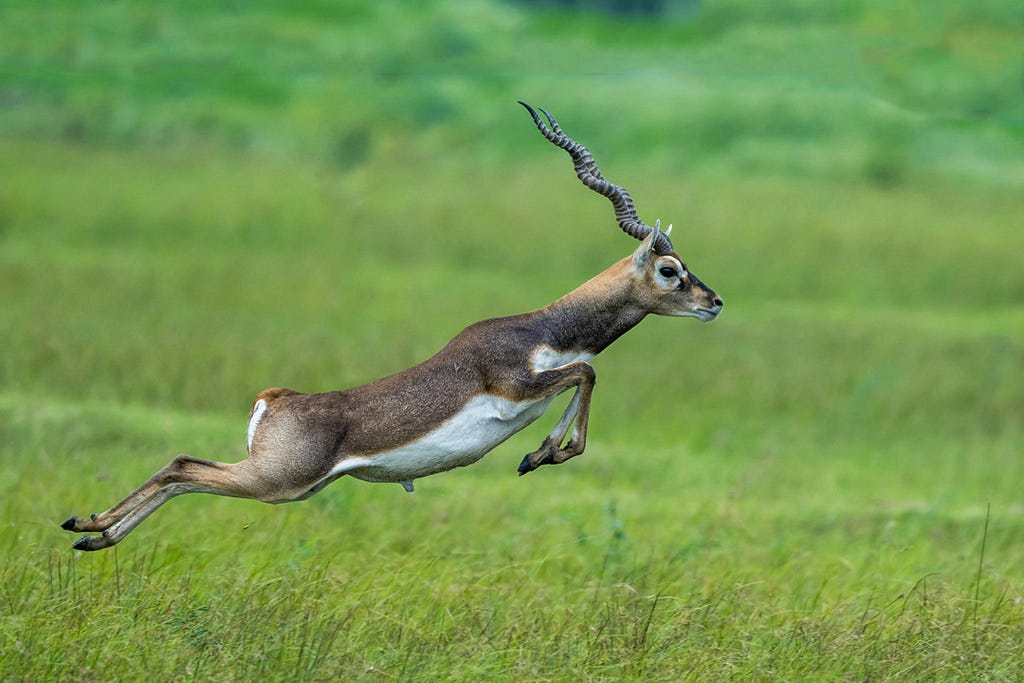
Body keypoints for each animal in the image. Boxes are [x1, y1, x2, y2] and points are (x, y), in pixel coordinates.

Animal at [59, 101, 724, 548]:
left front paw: (538, 455)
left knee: (182, 473)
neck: (545, 328)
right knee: (182, 465)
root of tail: (275, 399)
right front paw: (546, 454)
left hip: (288, 485)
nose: (714, 301)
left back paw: (92, 533)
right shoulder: (516, 384)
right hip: (278, 481)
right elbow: (586, 373)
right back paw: (90, 525)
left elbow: (580, 379)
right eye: (670, 270)